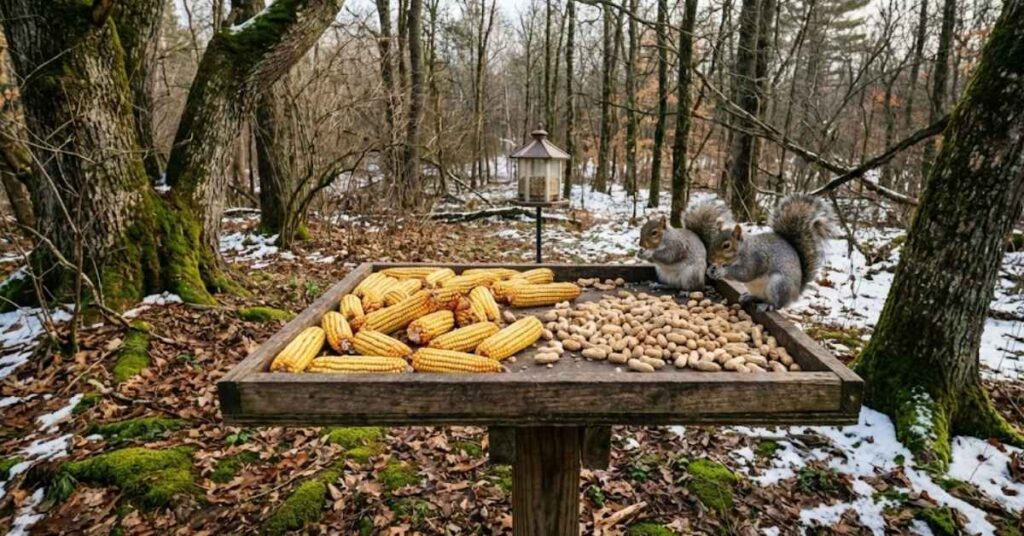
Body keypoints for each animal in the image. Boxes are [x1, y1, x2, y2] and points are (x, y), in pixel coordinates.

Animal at [705, 194, 835, 310]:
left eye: (726, 245)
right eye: (714, 239)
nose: (710, 259)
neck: (743, 249)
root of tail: (795, 295)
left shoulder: (756, 259)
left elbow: (745, 274)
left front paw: (723, 271)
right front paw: (711, 270)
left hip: (778, 284)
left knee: (777, 304)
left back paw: (768, 305)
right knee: (760, 297)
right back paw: (749, 297)